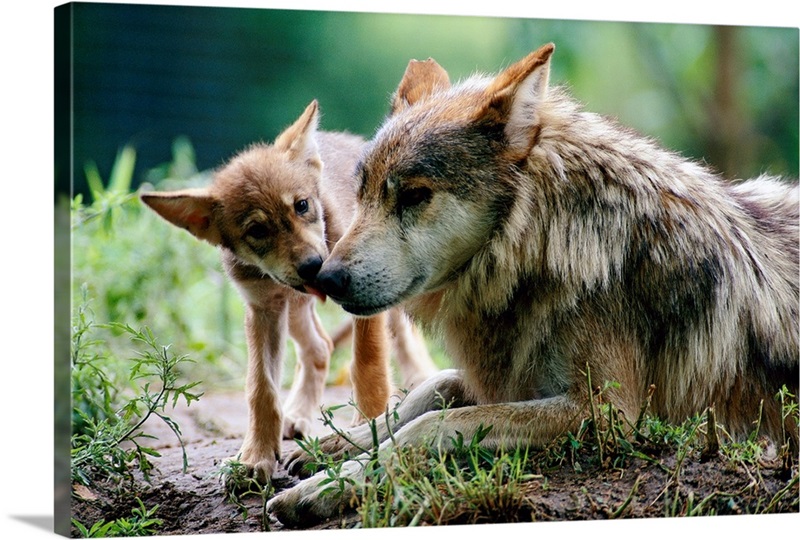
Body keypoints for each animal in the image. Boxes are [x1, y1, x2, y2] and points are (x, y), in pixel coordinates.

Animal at [140, 101, 436, 481]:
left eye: (302, 205)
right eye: (257, 231)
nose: (313, 267)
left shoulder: (362, 299)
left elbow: (367, 364)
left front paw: (367, 426)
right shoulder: (262, 309)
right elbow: (261, 390)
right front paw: (255, 458)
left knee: (404, 340)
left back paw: (422, 380)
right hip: (294, 309)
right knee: (320, 348)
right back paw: (298, 415)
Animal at [266, 44, 799, 524]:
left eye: (415, 196)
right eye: (363, 194)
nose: (326, 277)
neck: (547, 245)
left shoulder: (607, 414)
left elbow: (433, 424)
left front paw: (328, 486)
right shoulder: (506, 374)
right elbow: (426, 393)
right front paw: (328, 448)